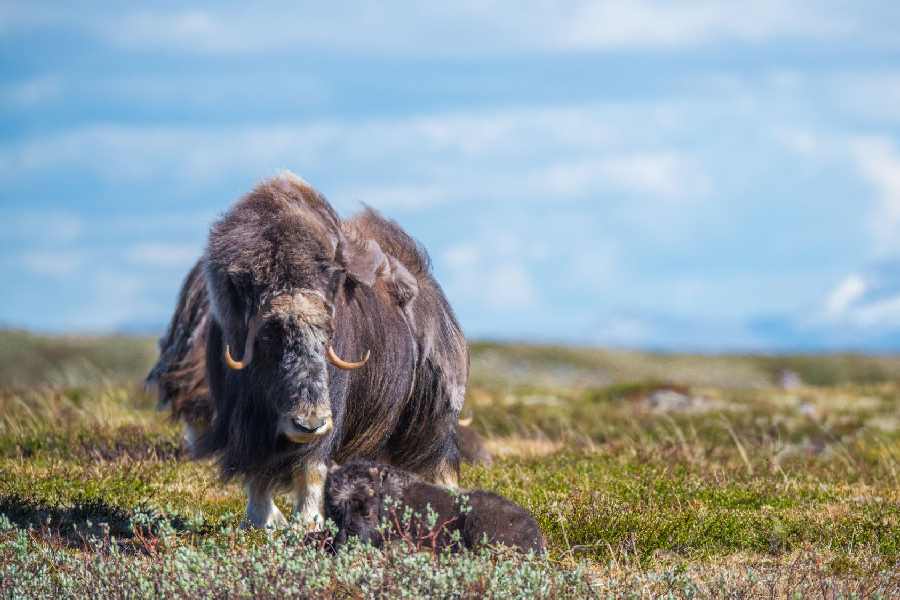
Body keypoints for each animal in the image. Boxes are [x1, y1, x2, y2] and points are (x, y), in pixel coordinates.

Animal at [144, 171, 468, 528]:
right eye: (268, 336)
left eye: (327, 336)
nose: (307, 423)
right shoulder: (246, 418)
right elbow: (257, 472)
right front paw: (260, 521)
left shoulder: (330, 410)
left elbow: (312, 466)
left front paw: (307, 523)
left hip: (429, 410)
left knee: (436, 457)